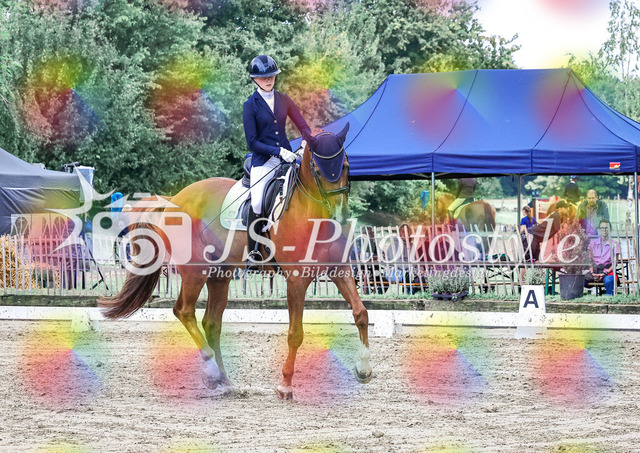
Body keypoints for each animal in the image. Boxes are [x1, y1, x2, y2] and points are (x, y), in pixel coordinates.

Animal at [99, 123, 373, 400]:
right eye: (317, 169)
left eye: (346, 166)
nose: (341, 216)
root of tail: (173, 200)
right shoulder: (297, 279)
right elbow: (295, 333)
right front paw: (285, 385)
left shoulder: (339, 269)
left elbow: (361, 313)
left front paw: (364, 370)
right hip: (195, 271)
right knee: (184, 311)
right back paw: (212, 373)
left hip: (220, 274)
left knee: (211, 322)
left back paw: (225, 381)